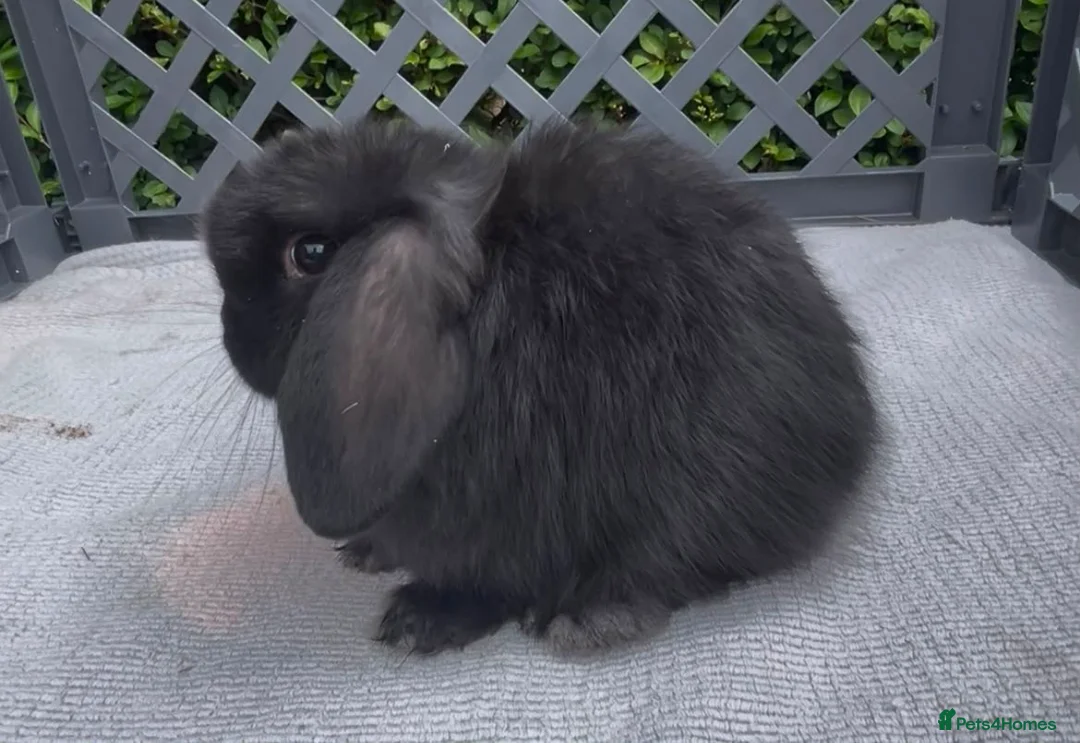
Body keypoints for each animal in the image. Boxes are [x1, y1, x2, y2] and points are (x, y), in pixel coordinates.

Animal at [199, 114, 880, 657]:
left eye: (309, 254)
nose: (232, 338)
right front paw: (365, 551)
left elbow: (493, 580)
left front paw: (421, 619)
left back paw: (588, 617)